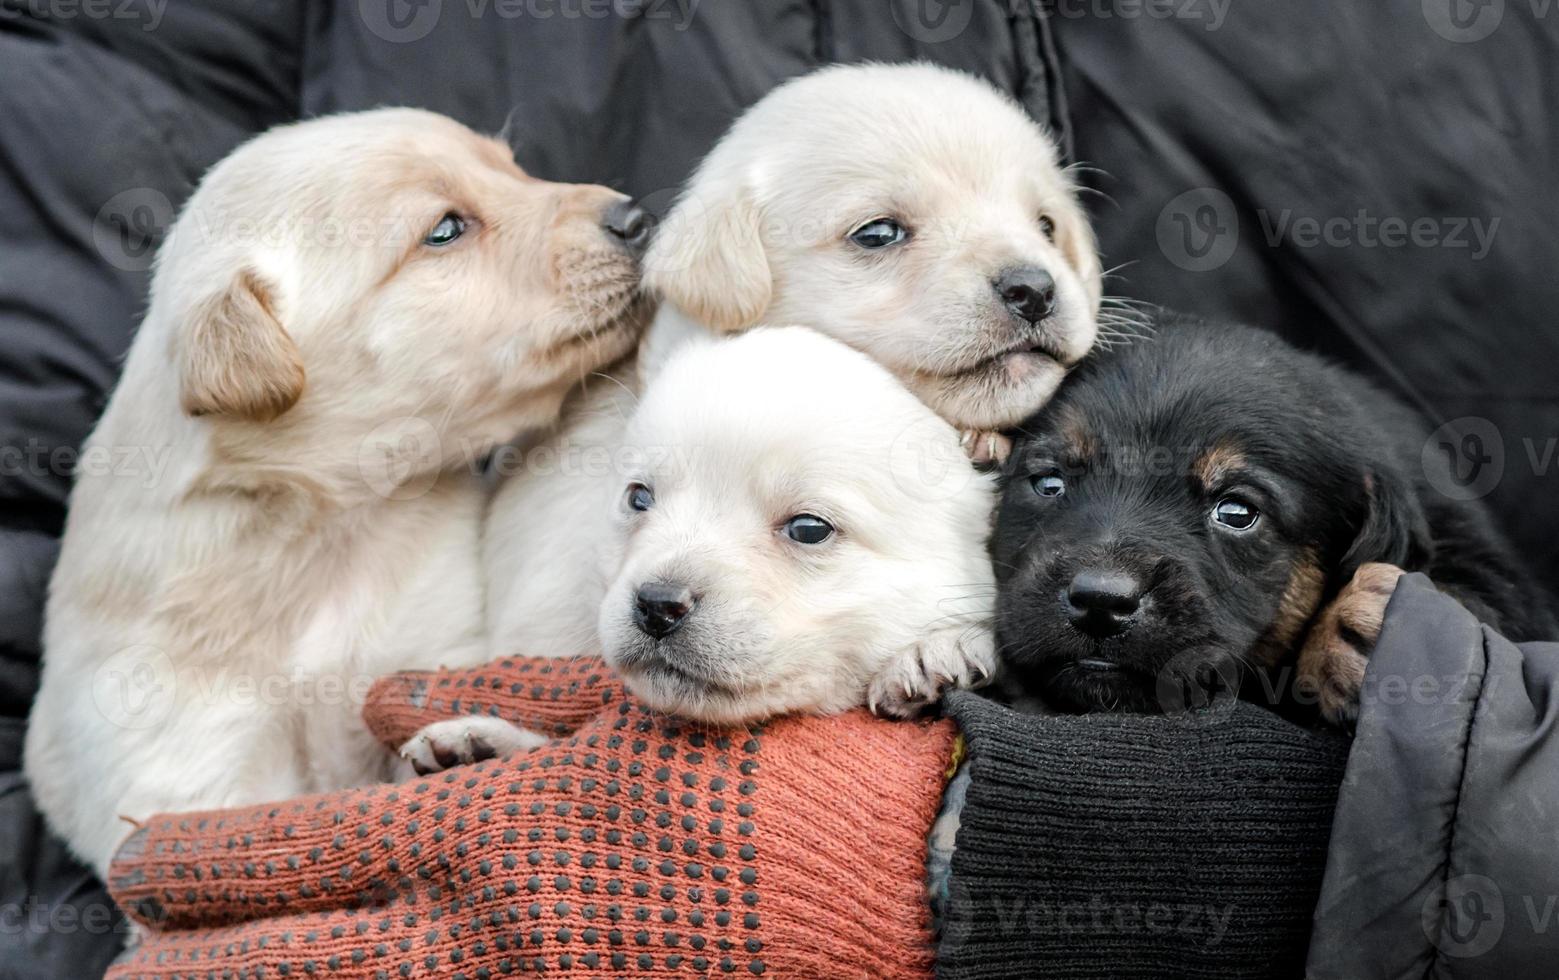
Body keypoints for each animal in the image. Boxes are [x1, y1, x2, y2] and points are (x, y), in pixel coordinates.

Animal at [30, 109, 651, 872]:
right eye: (444, 229)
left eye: (511, 167)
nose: (636, 216)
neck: (324, 528)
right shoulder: (181, 756)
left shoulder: (427, 643)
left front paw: (480, 750)